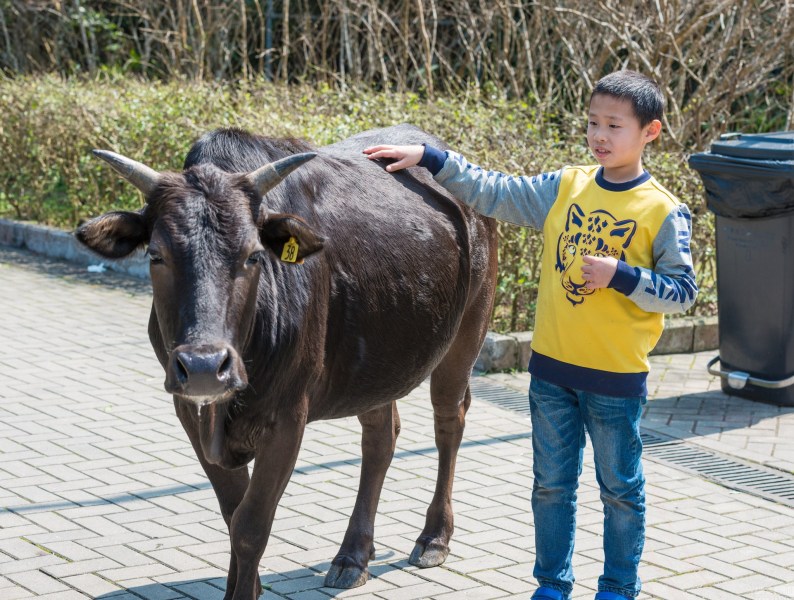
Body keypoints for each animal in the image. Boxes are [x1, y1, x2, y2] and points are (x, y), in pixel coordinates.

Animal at [76, 124, 496, 596]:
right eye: (155, 255)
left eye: (254, 254)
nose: (204, 367)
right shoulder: (188, 410)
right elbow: (232, 511)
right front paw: (246, 585)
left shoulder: (287, 419)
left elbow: (251, 525)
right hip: (377, 364)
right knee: (380, 438)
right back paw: (353, 555)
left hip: (465, 337)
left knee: (449, 423)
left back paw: (433, 537)